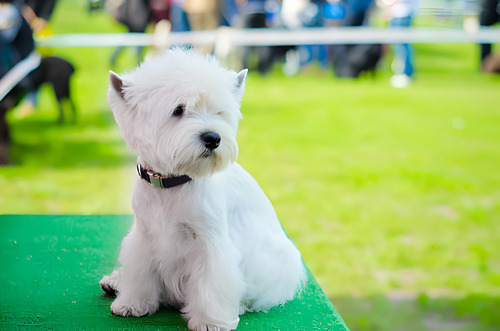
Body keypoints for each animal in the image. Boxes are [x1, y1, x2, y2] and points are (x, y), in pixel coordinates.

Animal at [100, 49, 304, 331]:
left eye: (219, 112)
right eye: (178, 109)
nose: (213, 138)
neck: (172, 183)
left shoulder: (210, 242)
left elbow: (212, 283)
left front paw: (210, 321)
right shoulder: (143, 234)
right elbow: (139, 270)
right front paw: (132, 303)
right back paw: (114, 282)